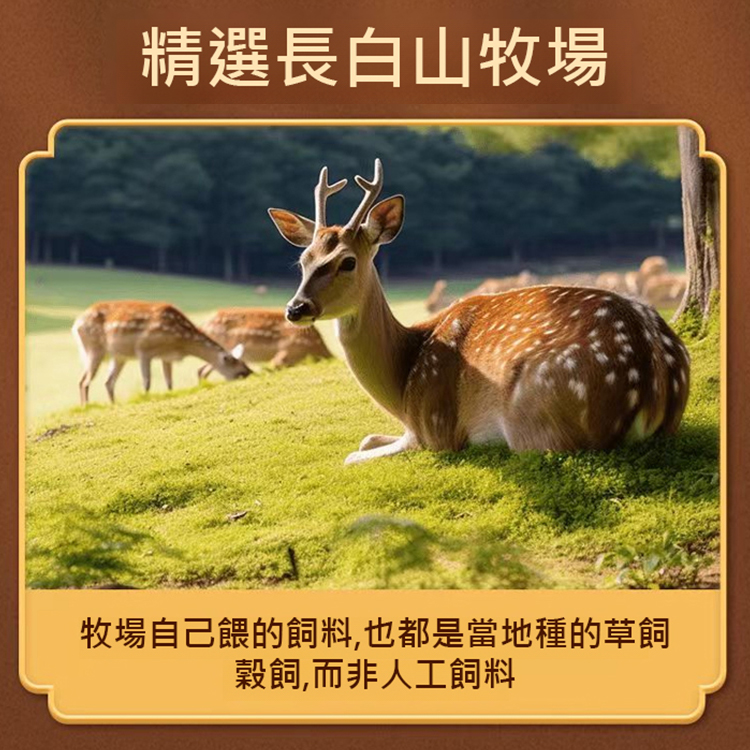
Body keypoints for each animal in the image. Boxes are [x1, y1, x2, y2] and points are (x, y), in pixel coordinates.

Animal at [72, 301, 250, 405]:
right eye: (240, 371)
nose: (250, 374)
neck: (180, 341)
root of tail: (76, 324)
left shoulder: (167, 357)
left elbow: (169, 383)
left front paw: (169, 395)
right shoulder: (143, 349)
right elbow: (147, 382)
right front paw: (146, 399)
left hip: (118, 356)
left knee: (108, 382)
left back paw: (113, 405)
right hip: (94, 348)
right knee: (84, 381)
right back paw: (86, 407)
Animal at [268, 159, 690, 465]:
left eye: (348, 262)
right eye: (303, 259)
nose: (295, 308)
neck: (404, 382)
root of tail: (656, 386)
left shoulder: (433, 429)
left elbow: (353, 453)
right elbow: (366, 436)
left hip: (534, 415)